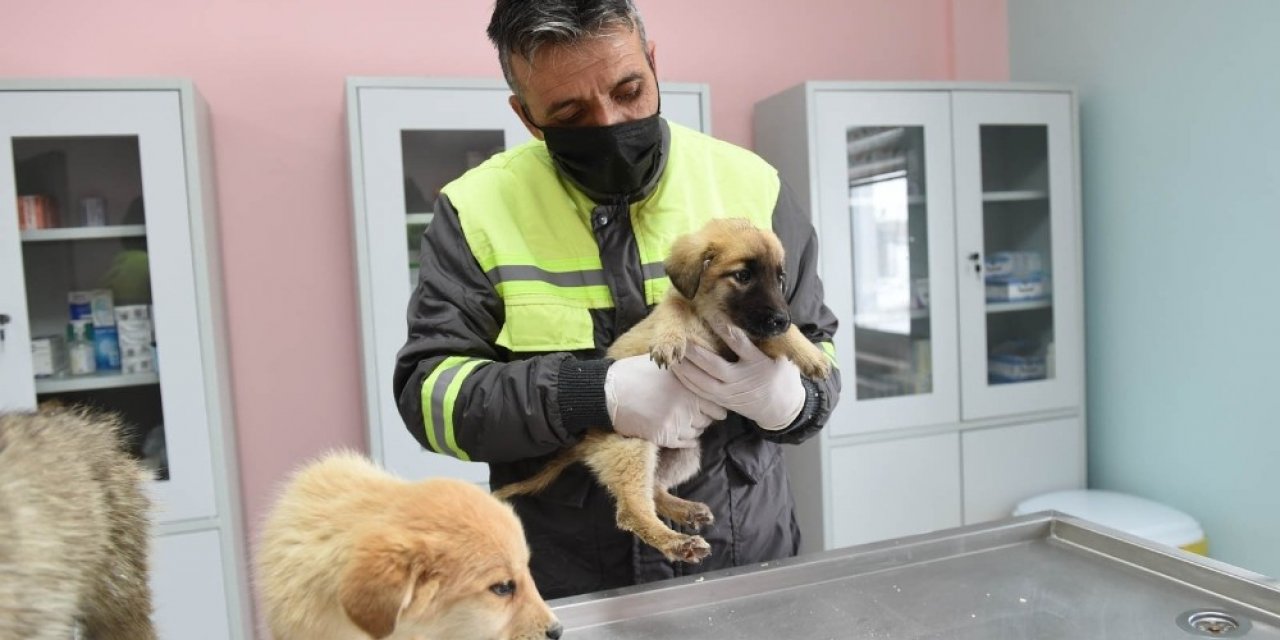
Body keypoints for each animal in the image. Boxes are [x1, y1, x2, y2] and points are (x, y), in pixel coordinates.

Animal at [488, 220, 829, 565]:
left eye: (780, 278)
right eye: (743, 276)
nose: (782, 319)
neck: (710, 318)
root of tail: (586, 442)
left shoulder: (744, 341)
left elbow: (774, 338)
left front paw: (809, 353)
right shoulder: (692, 316)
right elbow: (673, 311)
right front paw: (670, 340)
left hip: (684, 454)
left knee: (653, 489)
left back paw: (685, 511)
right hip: (632, 447)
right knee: (632, 510)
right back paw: (678, 542)